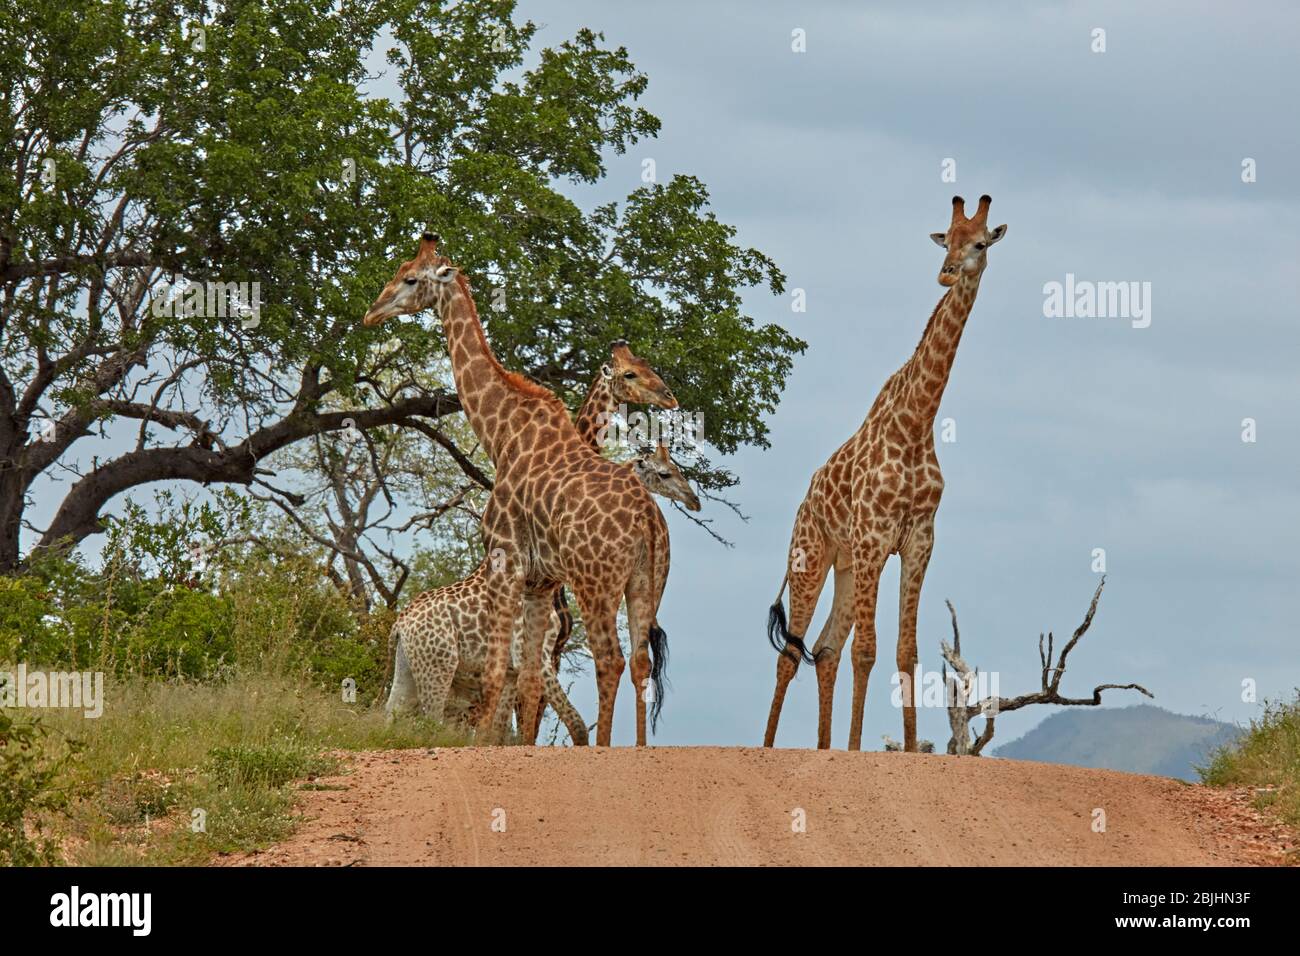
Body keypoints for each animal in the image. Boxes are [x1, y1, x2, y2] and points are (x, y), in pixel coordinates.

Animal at [363, 234, 677, 746]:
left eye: (409, 278)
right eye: (634, 370)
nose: (373, 312)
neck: (502, 432)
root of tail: (650, 520)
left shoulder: (504, 561)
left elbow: (497, 678)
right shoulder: (539, 581)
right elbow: (527, 682)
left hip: (595, 583)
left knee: (608, 662)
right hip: (647, 583)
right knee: (639, 662)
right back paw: (637, 749)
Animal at [763, 195, 1007, 752]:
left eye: (980, 244)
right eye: (948, 240)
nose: (945, 273)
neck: (917, 422)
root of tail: (802, 506)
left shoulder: (917, 539)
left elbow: (904, 652)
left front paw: (907, 748)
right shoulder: (875, 536)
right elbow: (867, 651)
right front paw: (857, 750)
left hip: (847, 566)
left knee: (824, 648)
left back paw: (824, 749)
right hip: (811, 558)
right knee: (791, 652)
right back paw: (767, 748)